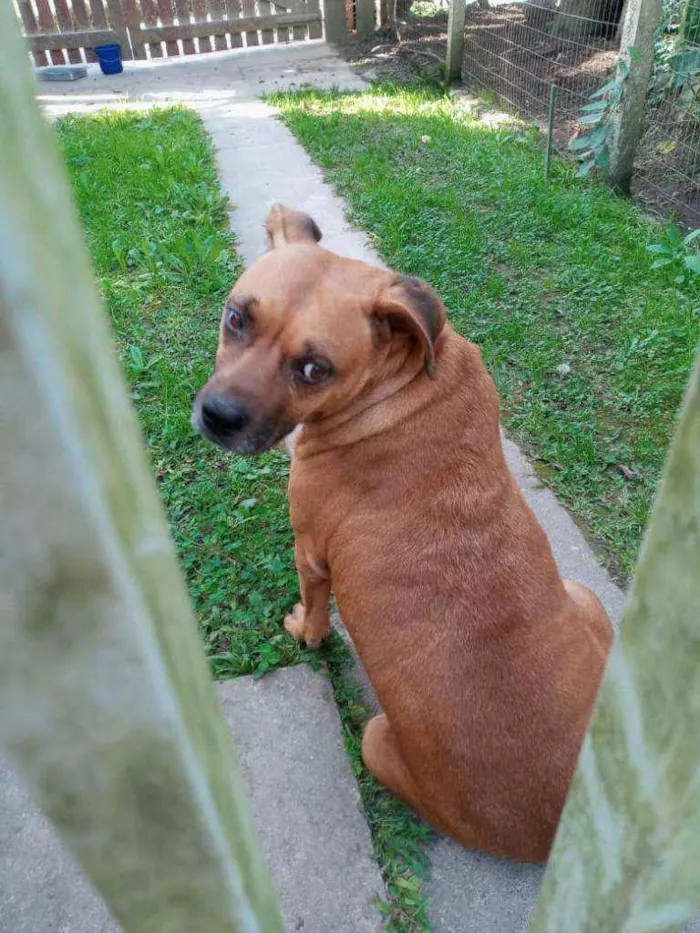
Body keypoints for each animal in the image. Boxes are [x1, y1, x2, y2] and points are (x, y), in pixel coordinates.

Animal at [193, 208, 612, 864]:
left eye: (314, 369)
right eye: (236, 318)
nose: (218, 417)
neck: (399, 384)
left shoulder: (310, 554)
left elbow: (315, 616)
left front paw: (302, 630)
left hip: (373, 737)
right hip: (585, 598)